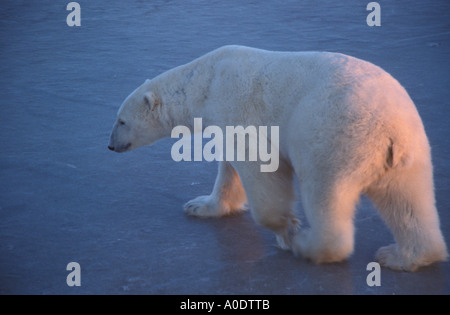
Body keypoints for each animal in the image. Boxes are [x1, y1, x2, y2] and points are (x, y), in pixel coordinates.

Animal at [108, 45, 446, 272]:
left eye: (121, 121)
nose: (110, 146)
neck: (205, 81)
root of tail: (390, 129)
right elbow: (229, 168)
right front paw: (200, 205)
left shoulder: (237, 106)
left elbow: (259, 165)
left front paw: (286, 228)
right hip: (410, 150)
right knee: (408, 200)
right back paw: (403, 255)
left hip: (334, 134)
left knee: (325, 191)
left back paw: (309, 245)